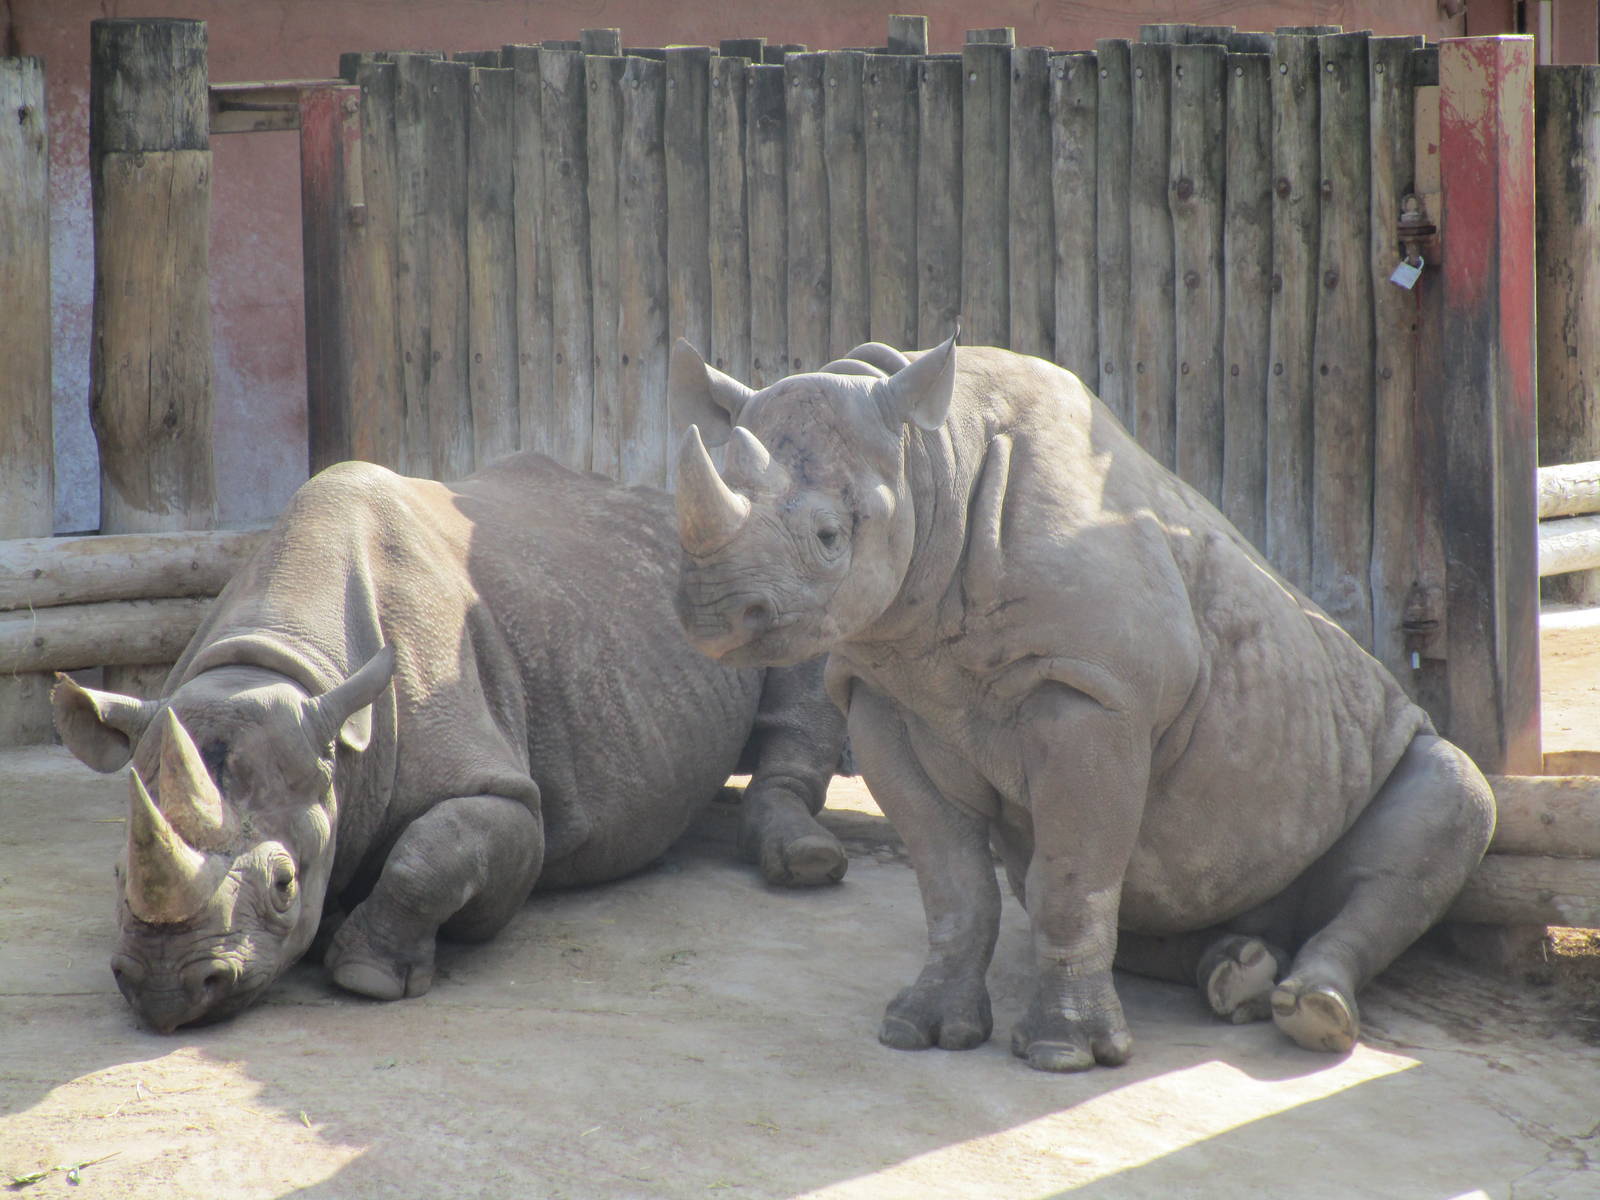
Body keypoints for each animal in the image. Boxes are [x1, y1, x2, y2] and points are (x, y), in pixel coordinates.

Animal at [53, 451, 847, 1033]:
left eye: (284, 885)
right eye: (116, 875)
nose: (168, 992)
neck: (287, 663)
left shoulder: (512, 798)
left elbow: (433, 855)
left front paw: (368, 975)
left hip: (779, 577)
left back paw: (805, 863)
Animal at [669, 334, 1496, 1072]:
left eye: (829, 535)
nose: (710, 614)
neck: (928, 461)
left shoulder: (1092, 689)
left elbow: (1072, 876)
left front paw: (1063, 1055)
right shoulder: (884, 693)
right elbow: (954, 881)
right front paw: (921, 1031)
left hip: (1394, 731)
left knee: (1452, 803)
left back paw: (1313, 1013)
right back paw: (1239, 974)